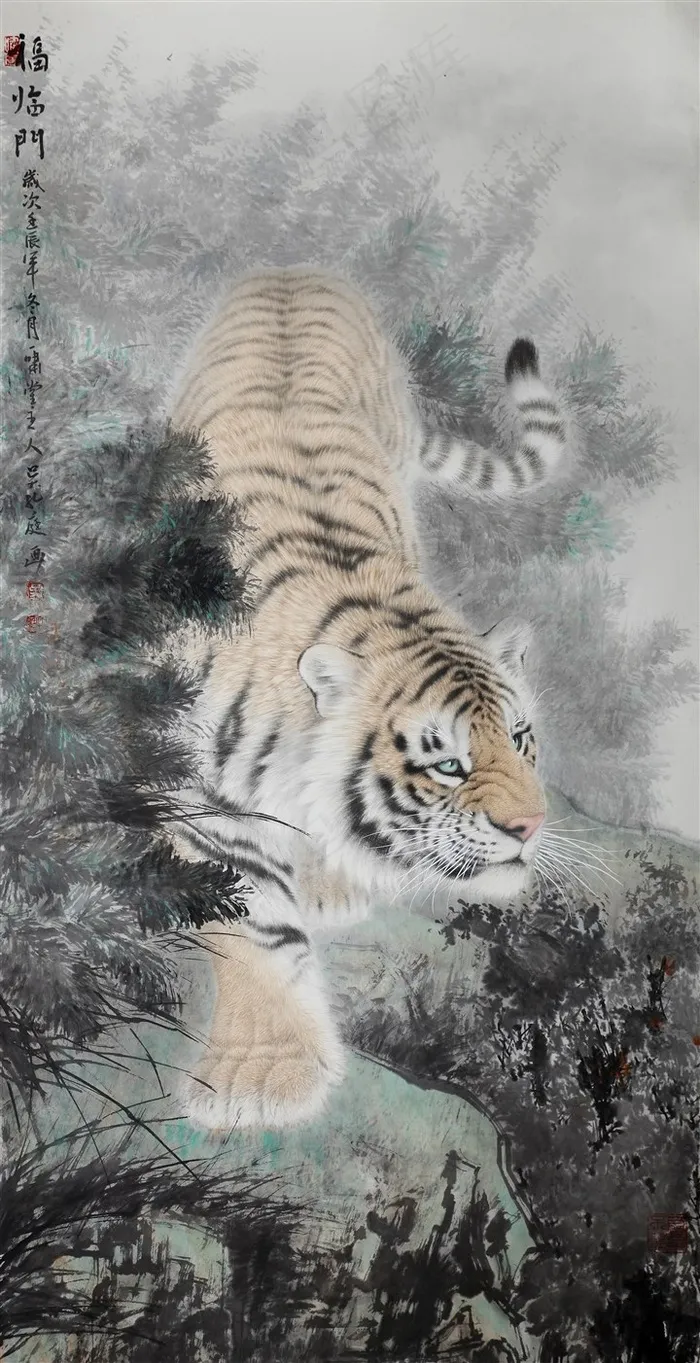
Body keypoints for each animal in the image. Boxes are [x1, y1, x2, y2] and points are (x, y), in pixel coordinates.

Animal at [168, 267, 566, 1131]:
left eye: (522, 737)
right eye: (448, 765)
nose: (529, 827)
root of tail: (293, 267)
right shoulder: (200, 794)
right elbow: (254, 923)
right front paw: (265, 1076)